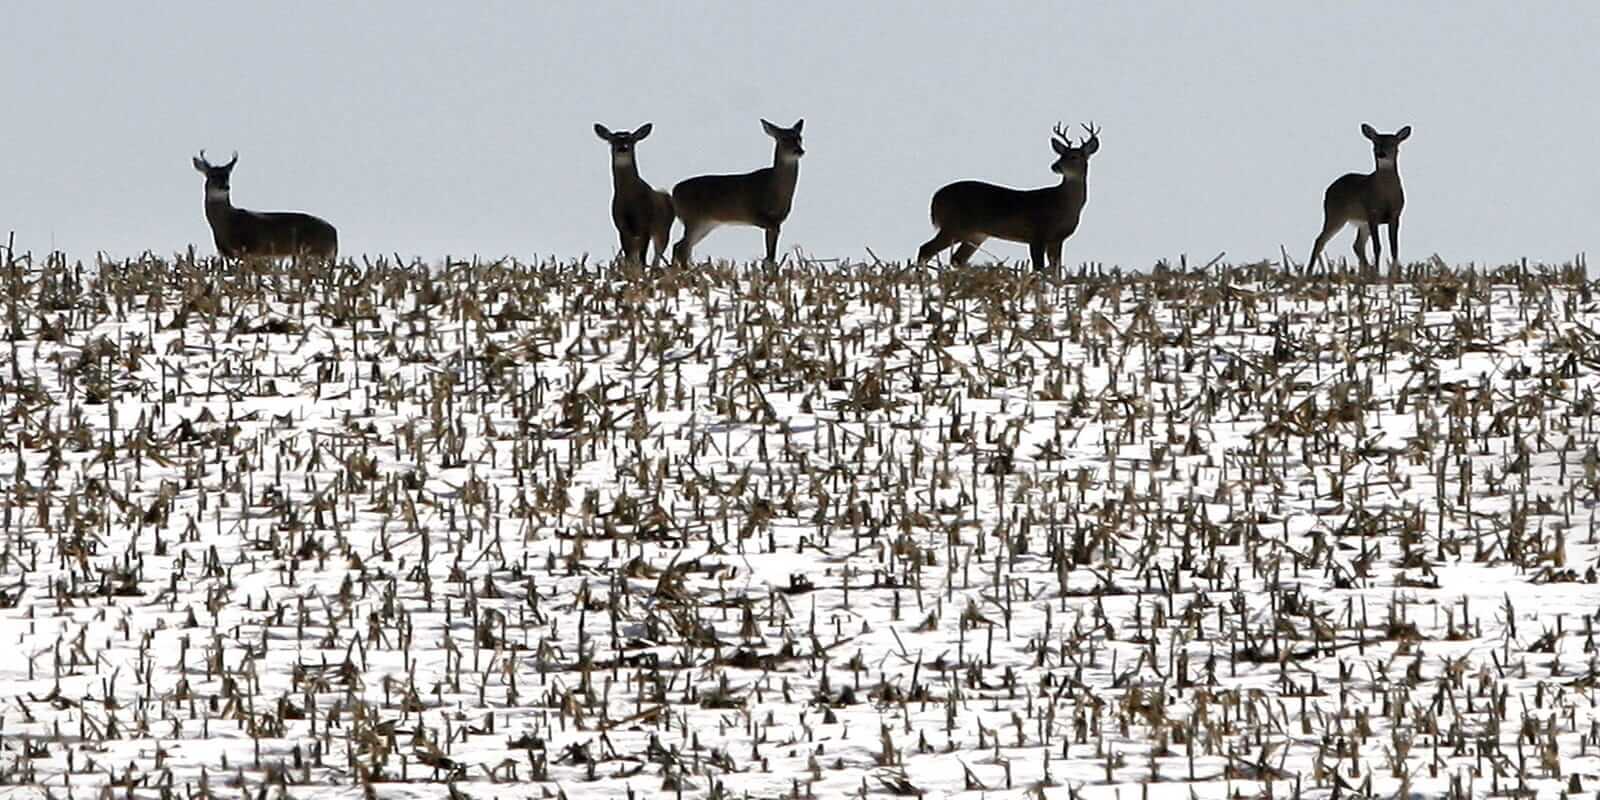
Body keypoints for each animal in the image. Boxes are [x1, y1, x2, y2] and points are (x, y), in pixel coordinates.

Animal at [192, 150, 339, 259]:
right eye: (211, 175)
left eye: (228, 175)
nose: (225, 187)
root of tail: (334, 232)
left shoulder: (248, 250)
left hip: (316, 252)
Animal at [598, 121, 678, 265]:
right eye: (612, 141)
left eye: (631, 140)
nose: (622, 148)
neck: (630, 198)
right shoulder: (622, 227)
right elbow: (630, 258)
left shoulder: (645, 224)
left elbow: (642, 259)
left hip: (664, 228)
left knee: (657, 256)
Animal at [672, 116, 806, 265]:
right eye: (783, 138)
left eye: (800, 138)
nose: (799, 151)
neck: (773, 188)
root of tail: (674, 191)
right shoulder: (754, 213)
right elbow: (770, 253)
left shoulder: (777, 219)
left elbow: (771, 256)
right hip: (693, 219)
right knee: (682, 247)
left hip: (706, 224)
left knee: (679, 246)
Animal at [915, 120, 1100, 272]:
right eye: (1060, 155)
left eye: (1074, 156)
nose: (1055, 166)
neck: (1062, 205)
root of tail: (935, 198)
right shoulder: (1037, 233)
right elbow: (1038, 268)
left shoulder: (1057, 239)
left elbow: (1056, 271)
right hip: (955, 225)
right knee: (926, 249)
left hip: (975, 234)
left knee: (957, 259)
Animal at [1312, 123, 1414, 275]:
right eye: (1375, 143)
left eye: (1393, 143)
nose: (1381, 154)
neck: (1386, 195)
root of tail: (1328, 189)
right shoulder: (1372, 213)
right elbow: (1377, 247)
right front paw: (1377, 272)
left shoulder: (1395, 215)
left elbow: (1394, 248)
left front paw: (1393, 273)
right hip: (1335, 214)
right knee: (1320, 240)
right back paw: (1309, 272)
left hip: (1361, 222)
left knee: (1357, 245)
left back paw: (1365, 270)